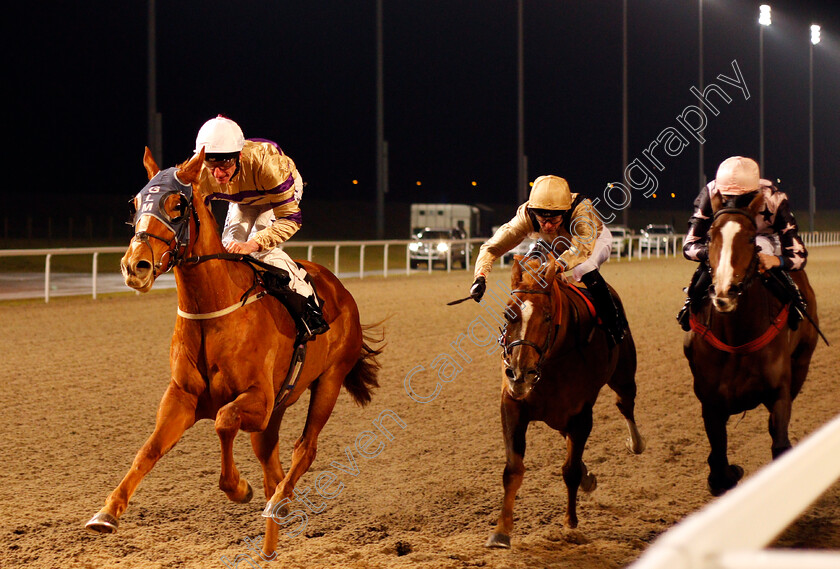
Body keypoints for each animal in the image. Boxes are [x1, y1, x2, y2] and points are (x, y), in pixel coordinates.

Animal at [84, 149, 380, 556]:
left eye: (177, 205)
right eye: (135, 203)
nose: (135, 266)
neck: (214, 311)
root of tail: (341, 290)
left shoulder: (256, 398)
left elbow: (223, 421)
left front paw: (238, 487)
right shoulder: (183, 397)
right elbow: (149, 449)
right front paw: (107, 511)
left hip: (329, 381)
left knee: (304, 449)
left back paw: (277, 503)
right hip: (279, 406)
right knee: (271, 459)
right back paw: (274, 527)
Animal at [486, 255, 644, 548]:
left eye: (547, 316)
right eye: (507, 314)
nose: (519, 372)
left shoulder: (582, 415)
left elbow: (569, 470)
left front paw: (570, 523)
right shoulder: (512, 404)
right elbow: (513, 469)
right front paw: (501, 531)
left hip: (624, 375)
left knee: (625, 404)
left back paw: (635, 443)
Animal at [684, 193, 816, 494]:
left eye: (750, 237)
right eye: (710, 235)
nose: (725, 291)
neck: (737, 340)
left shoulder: (780, 392)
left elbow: (780, 444)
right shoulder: (711, 403)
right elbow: (718, 464)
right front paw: (729, 472)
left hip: (802, 362)